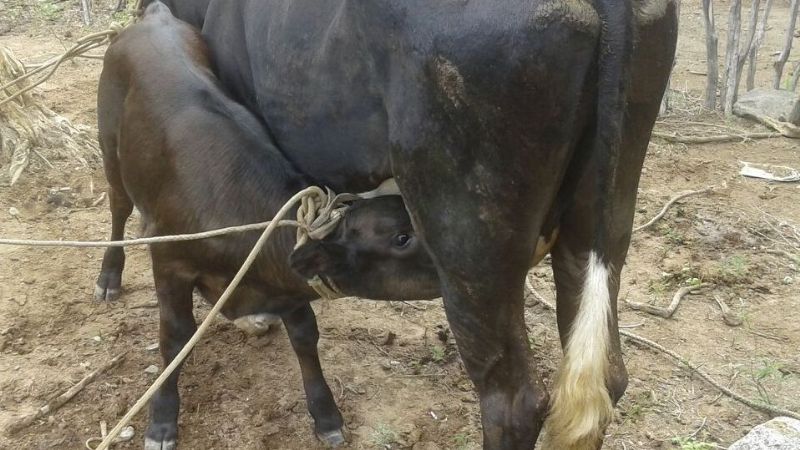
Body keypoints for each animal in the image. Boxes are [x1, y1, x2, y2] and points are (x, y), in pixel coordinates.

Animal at [95, 4, 440, 449]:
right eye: (401, 237)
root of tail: (154, 16)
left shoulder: (288, 283)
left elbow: (306, 336)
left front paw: (326, 415)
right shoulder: (169, 262)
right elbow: (174, 338)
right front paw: (161, 421)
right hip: (110, 147)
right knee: (119, 207)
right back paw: (109, 276)